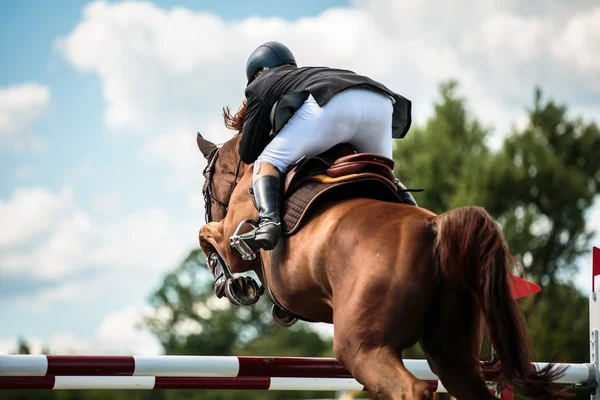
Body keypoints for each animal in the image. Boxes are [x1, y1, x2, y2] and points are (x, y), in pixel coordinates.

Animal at [198, 133, 568, 398]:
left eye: (205, 186)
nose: (209, 205)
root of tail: (435, 228)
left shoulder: (234, 241)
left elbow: (207, 236)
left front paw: (232, 285)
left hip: (363, 348)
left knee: (410, 389)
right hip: (452, 352)